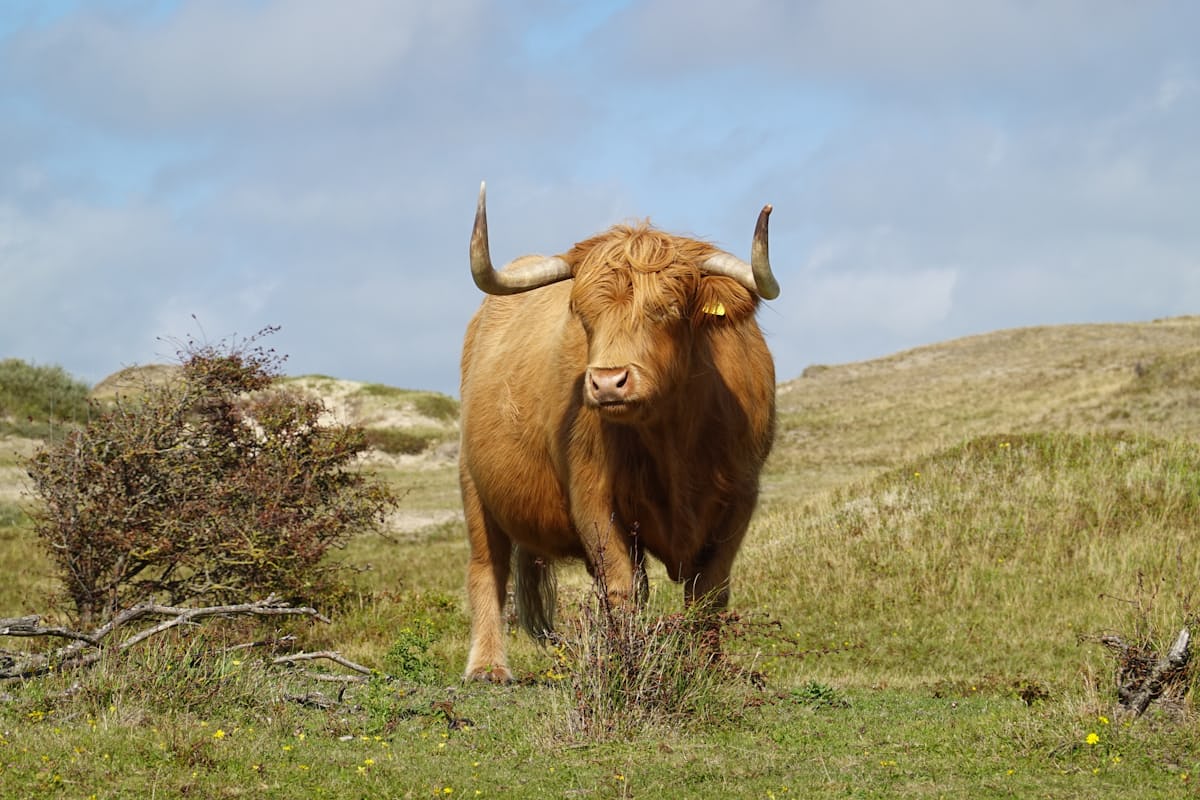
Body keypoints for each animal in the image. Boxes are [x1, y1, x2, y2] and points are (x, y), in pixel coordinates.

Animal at [459, 183, 778, 682]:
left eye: (668, 309)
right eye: (584, 314)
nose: (608, 382)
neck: (674, 438)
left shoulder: (740, 497)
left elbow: (709, 590)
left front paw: (706, 668)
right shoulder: (592, 496)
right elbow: (622, 588)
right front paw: (622, 666)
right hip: (473, 483)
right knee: (486, 568)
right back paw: (488, 666)